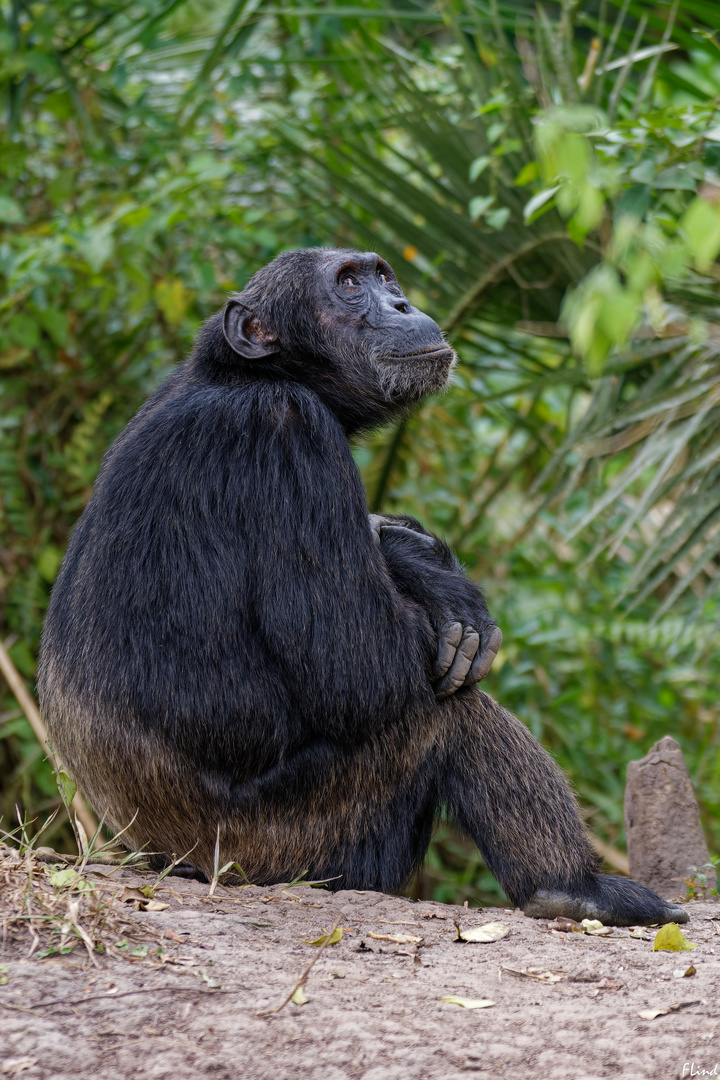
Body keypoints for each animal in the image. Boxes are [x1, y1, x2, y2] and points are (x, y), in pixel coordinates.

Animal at [38, 248, 686, 924]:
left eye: (382, 276)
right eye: (349, 284)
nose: (401, 303)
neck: (243, 376)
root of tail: (159, 858)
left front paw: (415, 555)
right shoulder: (286, 432)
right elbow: (362, 670)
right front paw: (434, 581)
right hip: (294, 846)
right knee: (443, 713)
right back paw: (572, 887)